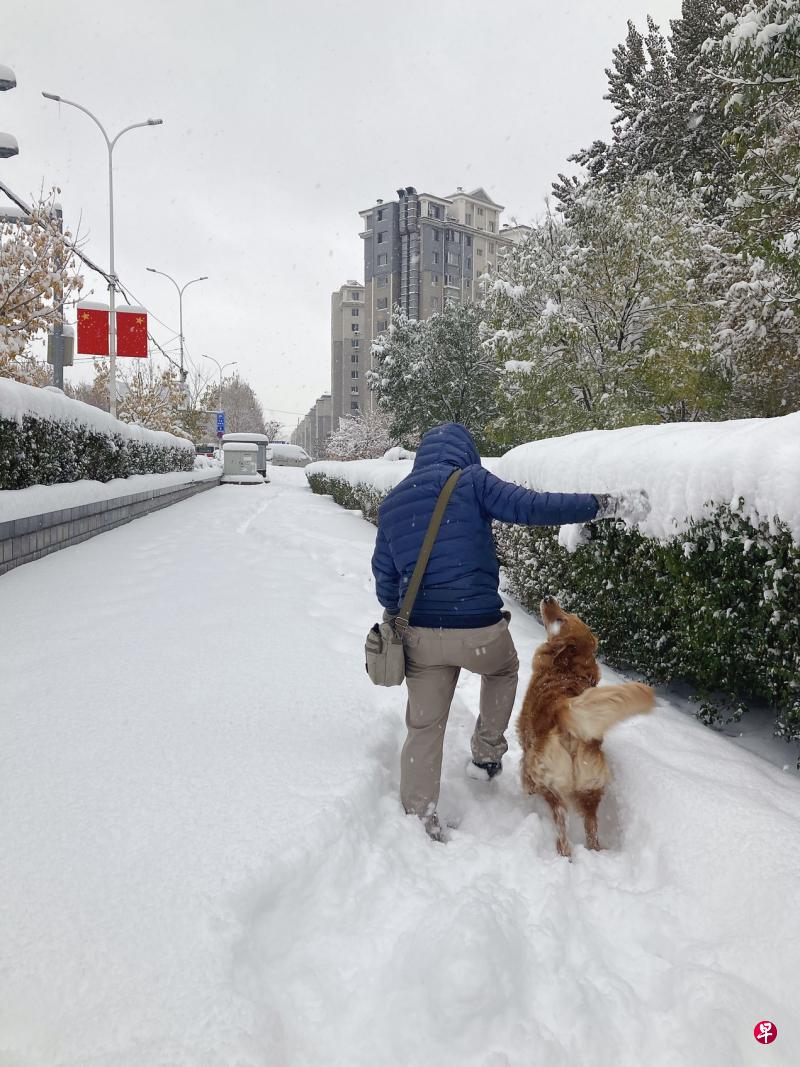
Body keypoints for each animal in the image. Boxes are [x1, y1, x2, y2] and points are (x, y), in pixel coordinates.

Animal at [516, 601, 652, 857]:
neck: (567, 669)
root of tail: (564, 710)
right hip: (591, 787)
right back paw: (594, 850)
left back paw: (563, 854)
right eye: (567, 612)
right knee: (591, 828)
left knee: (561, 824)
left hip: (547, 778)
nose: (548, 597)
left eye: (562, 619)